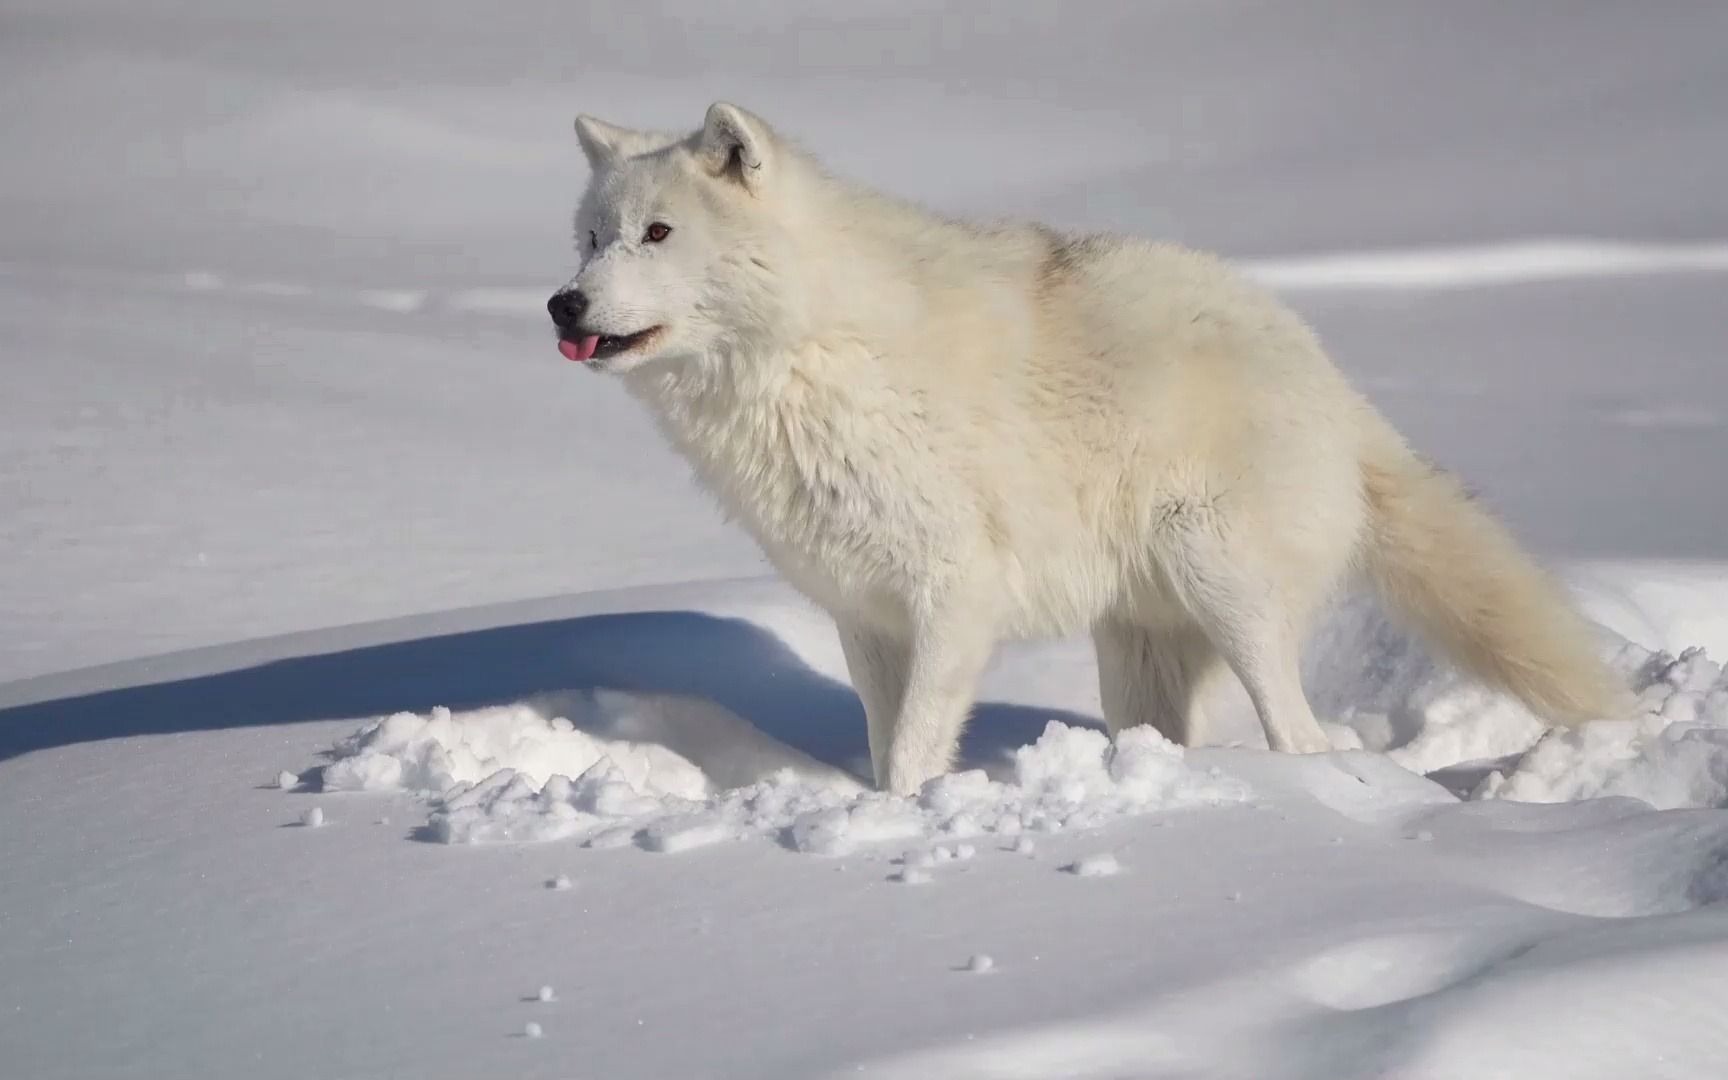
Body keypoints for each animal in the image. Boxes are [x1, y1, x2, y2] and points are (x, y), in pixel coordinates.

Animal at [546, 101, 1624, 791]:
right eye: (591, 239)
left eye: (658, 233)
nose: (563, 305)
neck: (809, 353)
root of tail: (1341, 390)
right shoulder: (866, 616)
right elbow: (885, 749)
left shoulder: (954, 597)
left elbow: (915, 754)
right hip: (1135, 654)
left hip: (1224, 586)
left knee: (1302, 736)